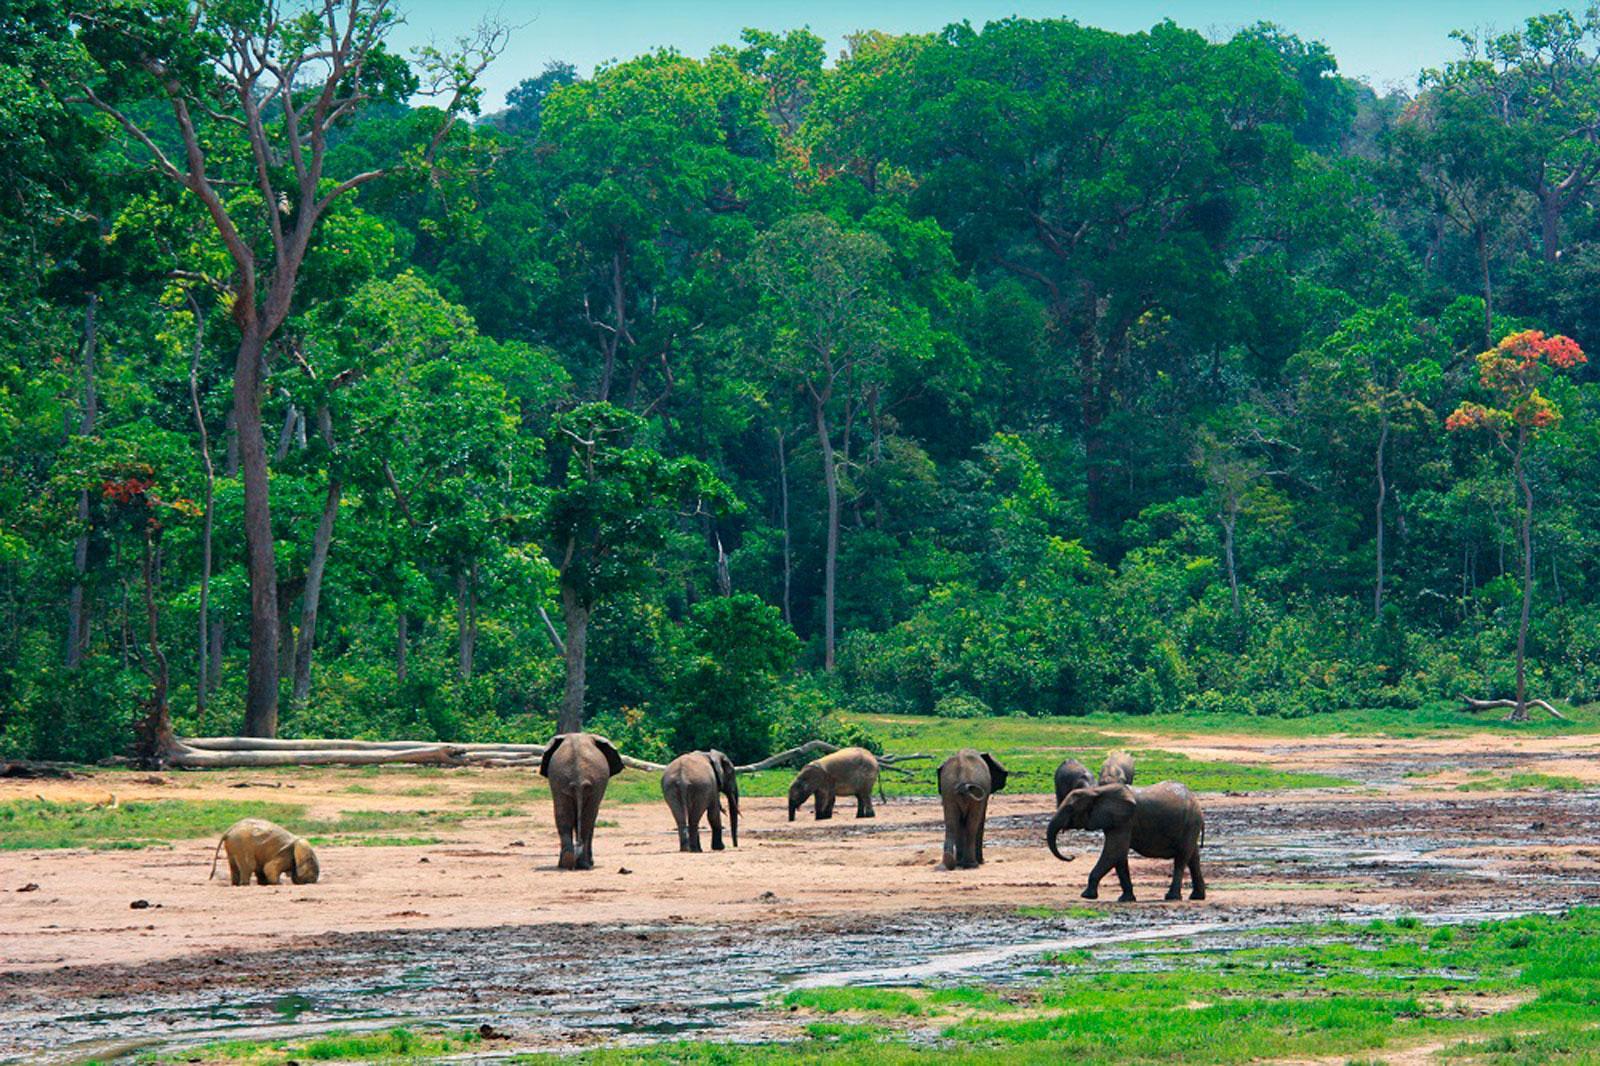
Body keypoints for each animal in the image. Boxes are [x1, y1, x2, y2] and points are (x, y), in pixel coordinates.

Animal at [537, 729, 624, 870]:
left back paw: (567, 863)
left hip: (560, 781)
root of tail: (578, 777)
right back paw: (584, 864)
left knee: (564, 817)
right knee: (587, 820)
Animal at [934, 742, 1004, 870]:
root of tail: (962, 776)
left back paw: (950, 862)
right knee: (972, 825)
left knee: (951, 823)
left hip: (949, 790)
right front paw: (981, 861)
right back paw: (972, 864)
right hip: (973, 791)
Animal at [1043, 777, 1203, 902]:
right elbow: (1119, 857)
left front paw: (1086, 896)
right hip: (1190, 826)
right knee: (1193, 858)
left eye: (1070, 808)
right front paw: (1126, 899)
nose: (1072, 856)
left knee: (1181, 858)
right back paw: (1197, 897)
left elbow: (1113, 852)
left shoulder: (1124, 821)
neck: (1096, 791)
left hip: (1190, 824)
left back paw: (1172, 897)